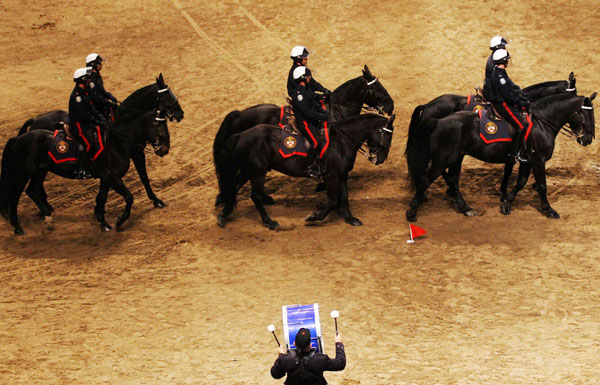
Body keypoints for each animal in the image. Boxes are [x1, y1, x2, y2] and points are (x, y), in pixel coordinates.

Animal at [0, 74, 183, 232]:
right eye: (168, 97)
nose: (180, 114)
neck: (117, 138)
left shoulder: (115, 170)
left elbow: (111, 193)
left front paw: (102, 218)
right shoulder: (122, 165)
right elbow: (133, 189)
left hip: (40, 170)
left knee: (33, 190)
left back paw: (46, 213)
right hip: (24, 173)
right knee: (17, 195)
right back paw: (24, 223)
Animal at [214, 112, 394, 230]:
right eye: (386, 135)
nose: (381, 159)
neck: (341, 142)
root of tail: (241, 135)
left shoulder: (342, 175)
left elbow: (344, 197)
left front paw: (351, 219)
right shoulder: (331, 176)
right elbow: (333, 201)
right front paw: (313, 217)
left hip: (248, 170)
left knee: (234, 188)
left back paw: (223, 216)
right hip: (258, 172)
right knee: (255, 195)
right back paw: (270, 222)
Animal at [404, 91, 596, 220]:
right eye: (586, 115)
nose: (588, 139)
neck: (541, 123)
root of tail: (437, 121)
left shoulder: (526, 161)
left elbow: (520, 183)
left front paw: (506, 203)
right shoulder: (537, 160)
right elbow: (542, 185)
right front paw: (549, 210)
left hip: (456, 159)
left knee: (452, 180)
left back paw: (465, 208)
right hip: (442, 160)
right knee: (425, 181)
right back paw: (412, 211)